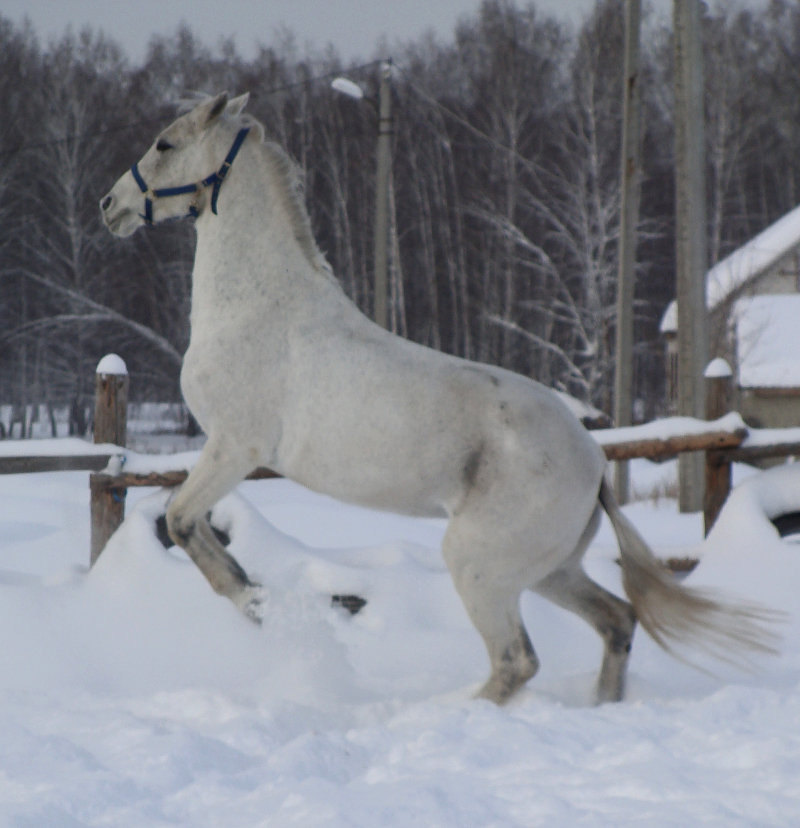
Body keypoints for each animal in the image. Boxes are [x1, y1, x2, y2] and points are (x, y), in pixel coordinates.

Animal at [101, 94, 780, 700]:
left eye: (165, 144)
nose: (111, 206)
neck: (259, 307)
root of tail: (594, 466)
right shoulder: (227, 452)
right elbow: (187, 521)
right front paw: (261, 592)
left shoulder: (235, 447)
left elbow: (181, 520)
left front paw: (253, 599)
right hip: (549, 569)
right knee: (618, 621)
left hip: (481, 567)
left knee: (517, 661)